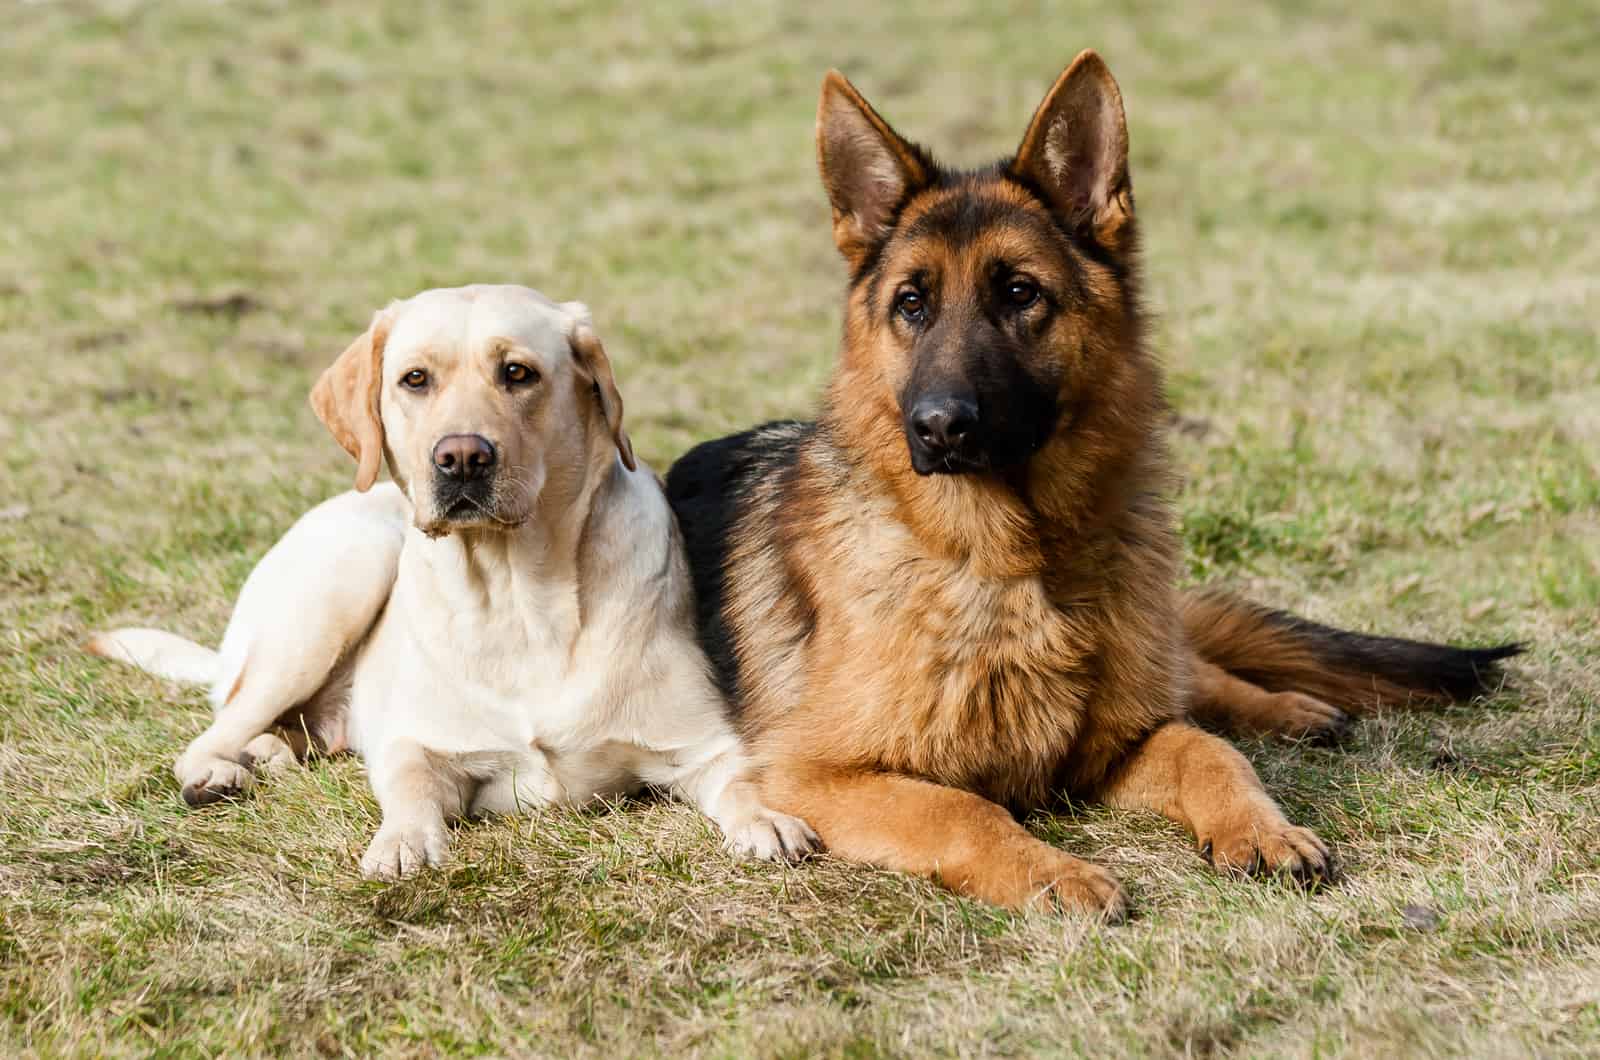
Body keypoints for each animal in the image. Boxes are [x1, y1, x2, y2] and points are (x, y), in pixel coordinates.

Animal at [86, 285, 812, 877]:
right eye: (415, 379)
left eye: (517, 372)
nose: (462, 457)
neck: (519, 597)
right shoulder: (417, 743)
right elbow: (408, 788)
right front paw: (401, 844)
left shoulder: (705, 744)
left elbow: (745, 783)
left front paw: (767, 822)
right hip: (345, 577)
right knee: (216, 727)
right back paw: (220, 771)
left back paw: (268, 755)